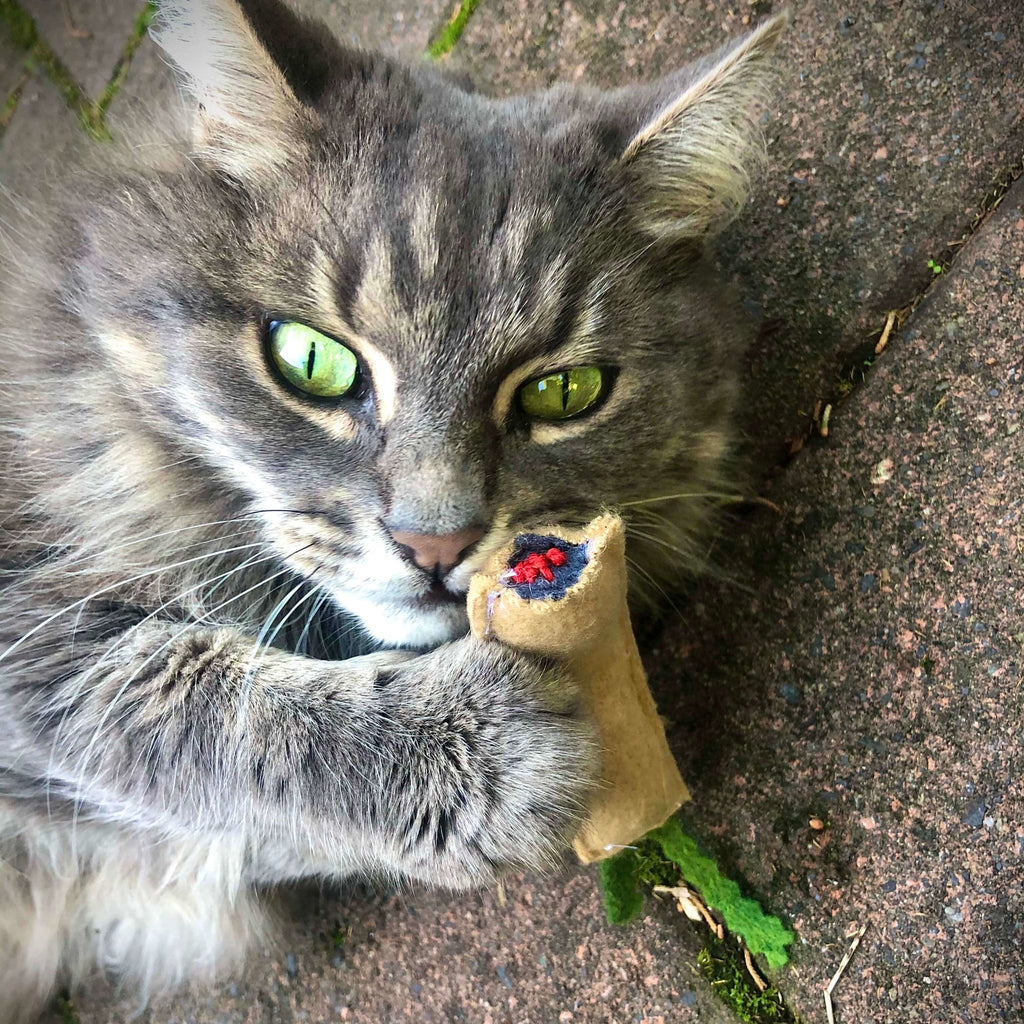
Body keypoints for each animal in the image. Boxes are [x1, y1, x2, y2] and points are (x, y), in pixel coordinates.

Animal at [0, 2, 782, 1015]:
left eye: (565, 392)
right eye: (311, 360)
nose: (436, 543)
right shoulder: (31, 644)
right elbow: (213, 718)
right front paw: (475, 750)